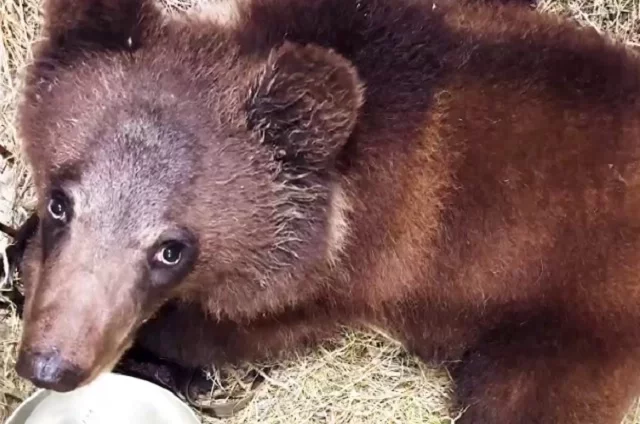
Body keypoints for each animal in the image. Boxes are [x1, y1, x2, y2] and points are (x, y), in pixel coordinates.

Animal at [11, 0, 640, 420]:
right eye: (60, 201)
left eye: (171, 248)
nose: (52, 365)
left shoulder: (355, 274)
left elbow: (230, 330)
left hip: (566, 319)